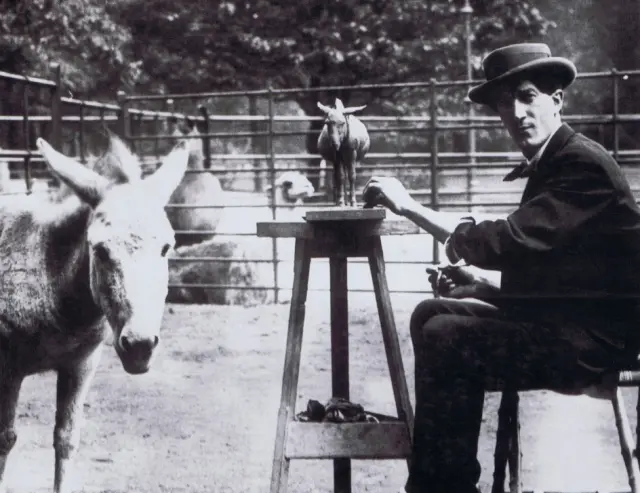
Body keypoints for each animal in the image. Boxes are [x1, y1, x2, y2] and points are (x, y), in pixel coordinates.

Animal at [0, 134, 189, 493]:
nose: (140, 346)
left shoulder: (81, 364)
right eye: (100, 250)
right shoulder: (8, 370)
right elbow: (6, 439)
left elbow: (66, 439)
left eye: (166, 247)